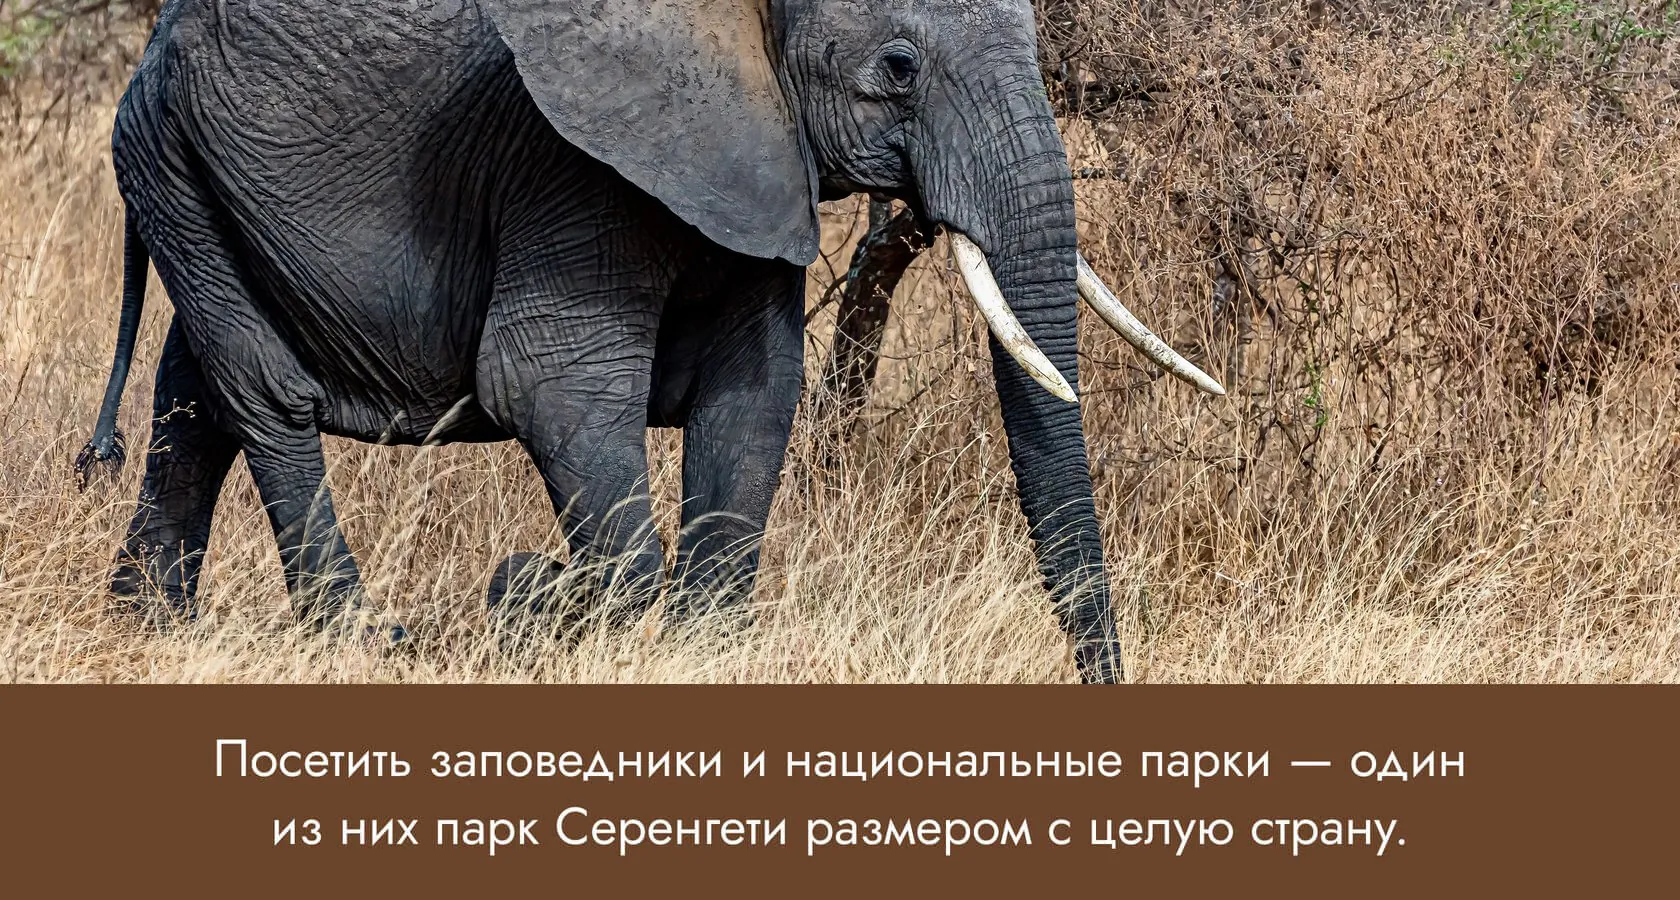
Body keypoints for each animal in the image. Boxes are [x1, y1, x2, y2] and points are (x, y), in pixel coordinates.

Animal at [76, 0, 1223, 682]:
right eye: (899, 66)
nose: (1106, 682)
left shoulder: (749, 148)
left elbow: (754, 391)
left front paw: (689, 643)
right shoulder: (565, 158)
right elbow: (553, 387)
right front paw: (559, 604)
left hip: (185, 168)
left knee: (195, 392)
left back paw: (149, 628)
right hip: (162, 154)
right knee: (263, 391)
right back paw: (362, 641)